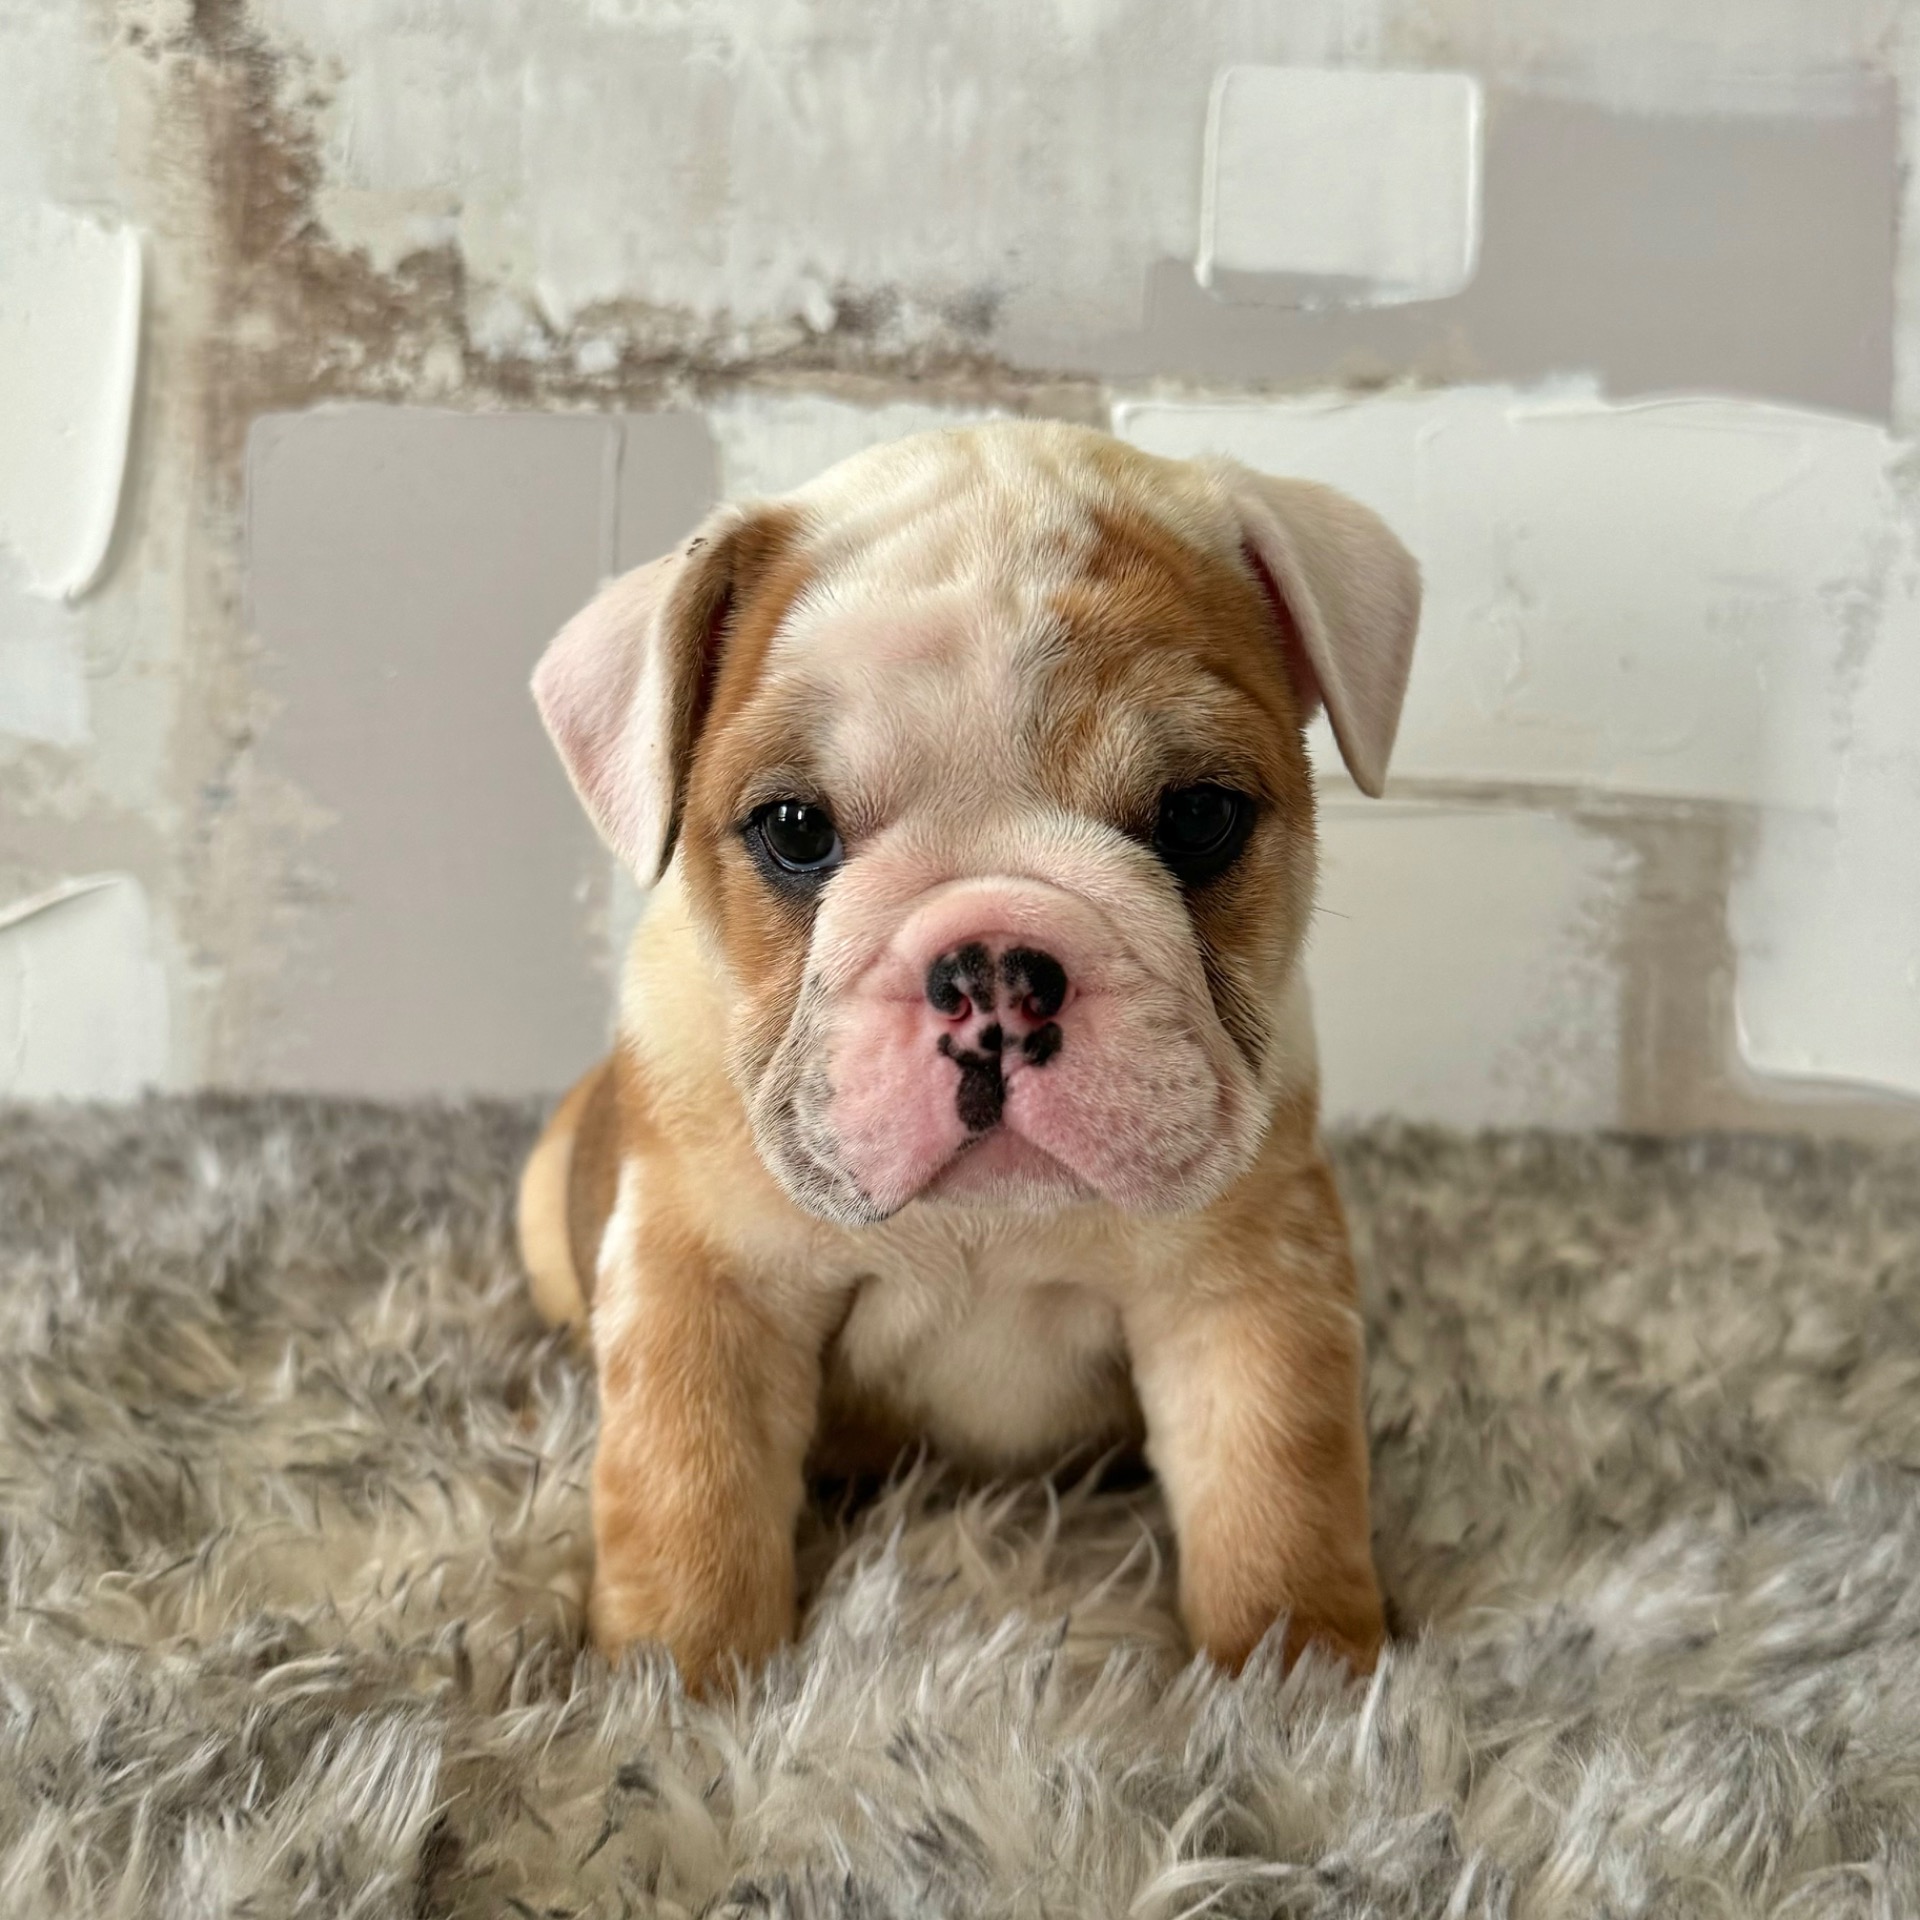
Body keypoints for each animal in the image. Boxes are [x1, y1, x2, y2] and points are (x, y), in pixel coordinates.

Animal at [516, 420, 1419, 1693]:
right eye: (794, 831)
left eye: (1199, 818)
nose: (992, 962)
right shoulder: (706, 1286)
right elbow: (690, 1493)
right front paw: (678, 1684)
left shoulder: (1247, 1293)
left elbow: (1276, 1491)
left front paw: (1301, 1679)